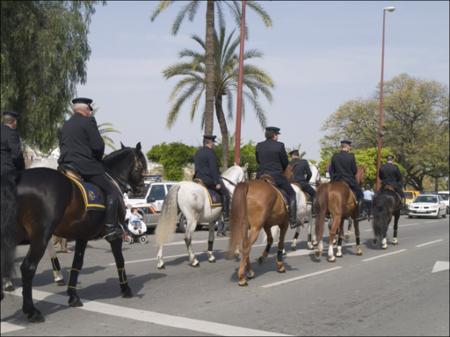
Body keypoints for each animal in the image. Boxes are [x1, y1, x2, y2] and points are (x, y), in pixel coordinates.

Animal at [0, 141, 147, 320]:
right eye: (141, 165)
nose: (141, 190)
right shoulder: (115, 234)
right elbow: (120, 259)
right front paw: (126, 289)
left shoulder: (82, 235)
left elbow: (77, 263)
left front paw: (73, 297)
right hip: (40, 236)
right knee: (27, 268)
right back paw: (32, 311)